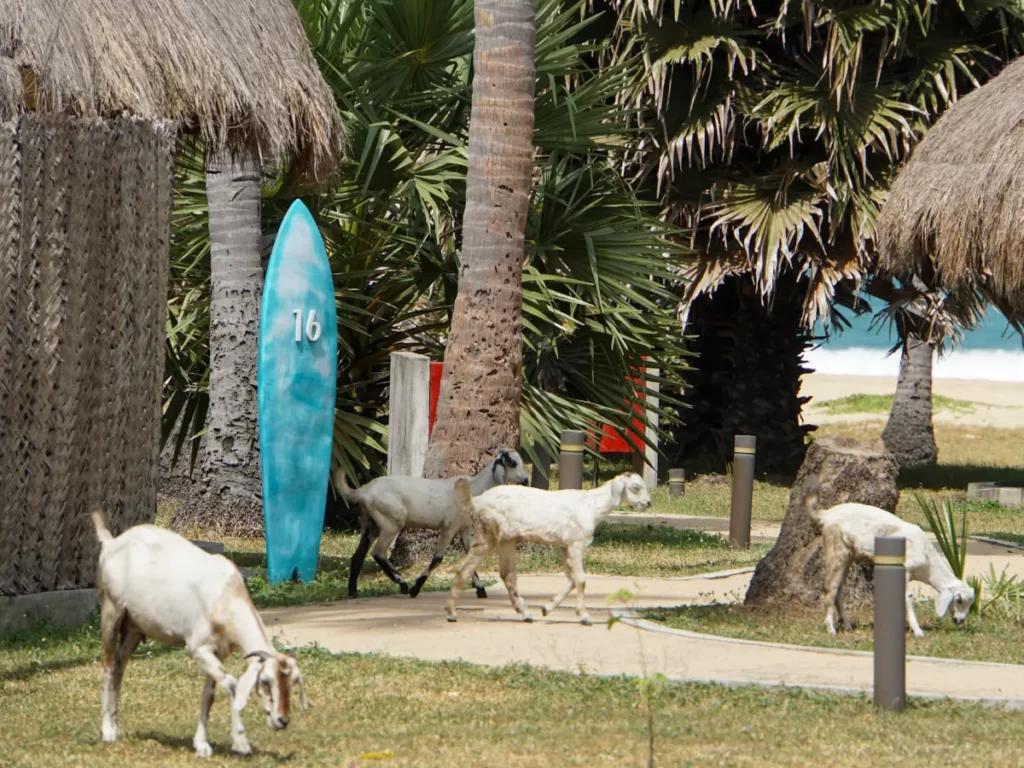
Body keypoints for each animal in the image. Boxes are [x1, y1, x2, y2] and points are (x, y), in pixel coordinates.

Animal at [91, 511, 306, 758]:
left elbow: (209, 695)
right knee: (107, 667)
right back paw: (107, 731)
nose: (282, 720)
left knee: (118, 668)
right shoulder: (197, 648)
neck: (225, 595)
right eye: (265, 681)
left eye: (293, 681)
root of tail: (111, 542)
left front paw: (202, 745)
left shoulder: (218, 651)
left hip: (134, 628)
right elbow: (232, 685)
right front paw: (241, 743)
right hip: (111, 611)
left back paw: (116, 726)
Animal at [334, 449, 529, 599]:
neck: (474, 487)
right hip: (391, 523)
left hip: (370, 524)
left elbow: (469, 556)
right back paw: (403, 584)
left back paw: (353, 592)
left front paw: (481, 590)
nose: (526, 480)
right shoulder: (449, 527)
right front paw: (415, 589)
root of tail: (362, 491)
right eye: (512, 463)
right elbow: (437, 559)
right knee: (378, 553)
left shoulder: (464, 528)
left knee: (358, 556)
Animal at [445, 472, 652, 625]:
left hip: (505, 539)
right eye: (635, 487)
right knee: (467, 569)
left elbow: (571, 579)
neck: (590, 506)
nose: (648, 503)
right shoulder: (575, 543)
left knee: (505, 574)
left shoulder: (563, 545)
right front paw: (584, 616)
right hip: (488, 533)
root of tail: (478, 500)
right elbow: (581, 580)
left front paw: (547, 608)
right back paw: (452, 613)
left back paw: (525, 613)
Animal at [816, 501, 975, 637]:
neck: (928, 564)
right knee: (830, 589)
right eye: (959, 600)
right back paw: (831, 628)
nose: (960, 620)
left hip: (847, 557)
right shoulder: (906, 569)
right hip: (836, 551)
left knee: (838, 590)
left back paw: (847, 624)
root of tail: (826, 514)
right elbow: (908, 597)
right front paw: (917, 631)